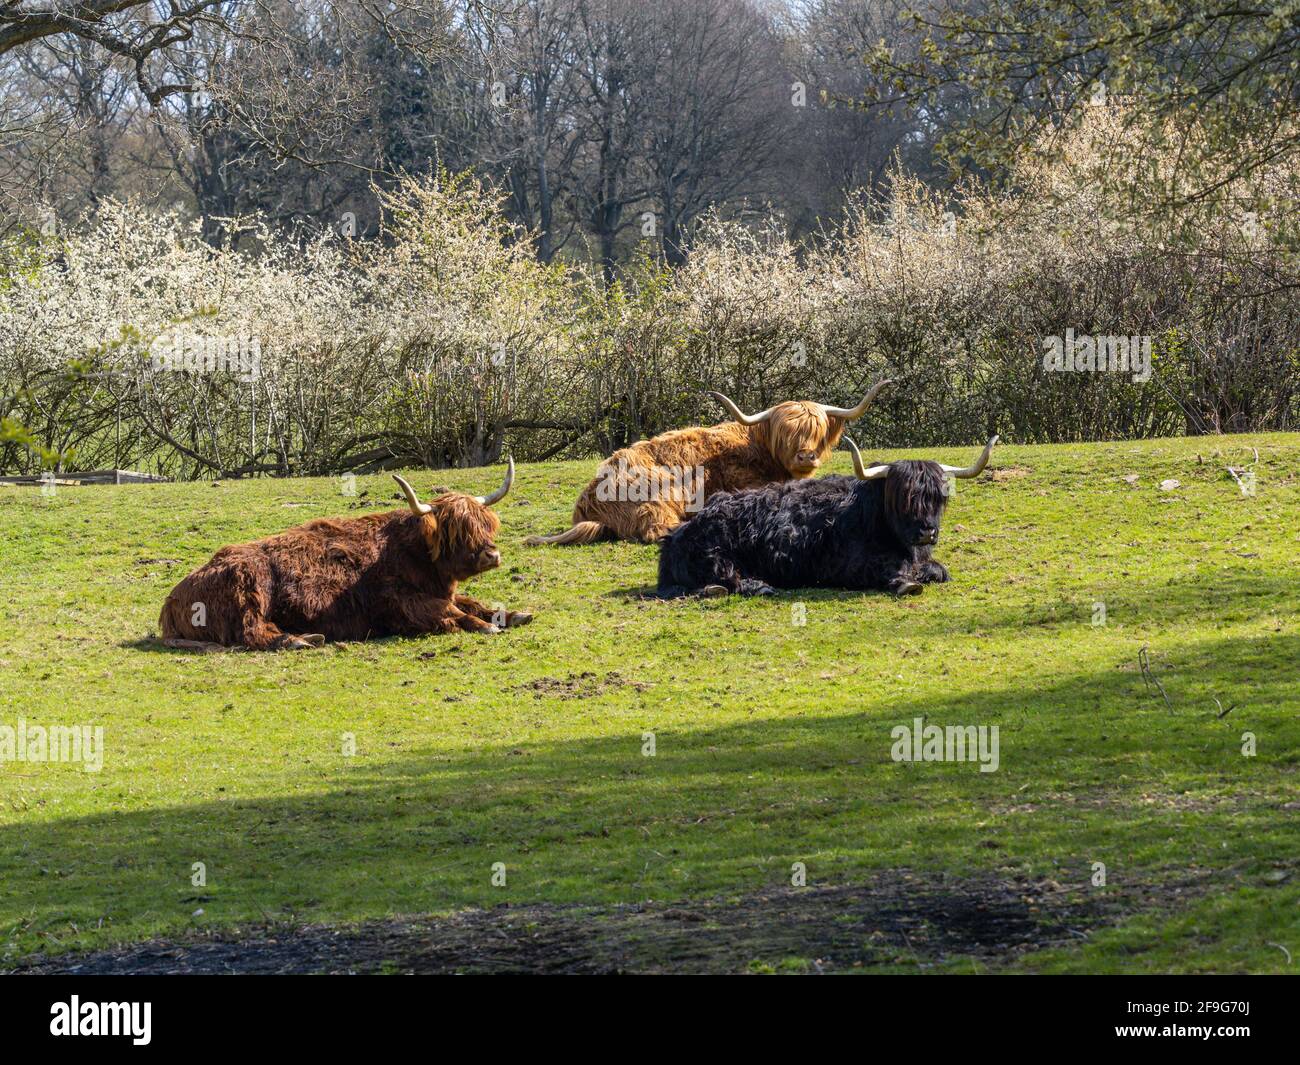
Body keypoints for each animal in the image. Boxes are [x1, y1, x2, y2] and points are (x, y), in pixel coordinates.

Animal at [158, 460, 532, 650]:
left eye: (484, 524)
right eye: (455, 531)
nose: (491, 555)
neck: (411, 551)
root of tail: (172, 598)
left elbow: (471, 602)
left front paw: (515, 615)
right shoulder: (398, 602)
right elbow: (450, 611)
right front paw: (486, 627)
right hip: (248, 589)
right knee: (253, 632)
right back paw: (300, 640)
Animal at [524, 380, 892, 545]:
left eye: (815, 430)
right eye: (786, 433)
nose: (805, 455)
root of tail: (588, 502)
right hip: (659, 494)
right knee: (657, 530)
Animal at [655, 436, 999, 599]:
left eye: (937, 497)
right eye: (903, 497)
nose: (927, 532)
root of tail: (677, 534)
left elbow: (939, 570)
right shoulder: (846, 567)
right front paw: (906, 583)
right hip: (717, 556)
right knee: (726, 579)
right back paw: (758, 586)